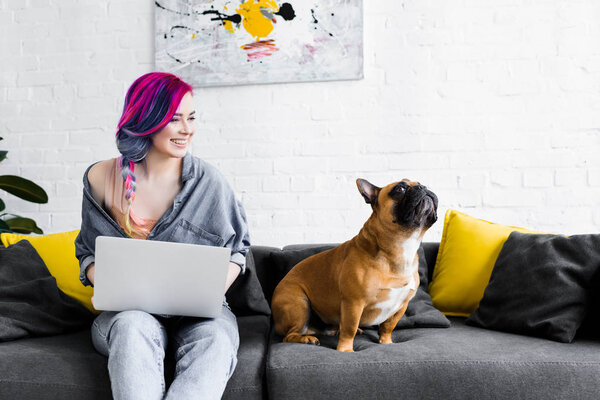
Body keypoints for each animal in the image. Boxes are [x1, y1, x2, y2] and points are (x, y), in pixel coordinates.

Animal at [270, 180, 436, 352]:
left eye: (421, 184)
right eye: (400, 188)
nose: (423, 187)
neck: (402, 245)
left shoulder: (402, 304)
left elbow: (388, 326)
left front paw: (386, 342)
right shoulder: (354, 302)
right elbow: (349, 328)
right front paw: (345, 349)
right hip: (299, 304)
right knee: (289, 335)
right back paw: (307, 339)